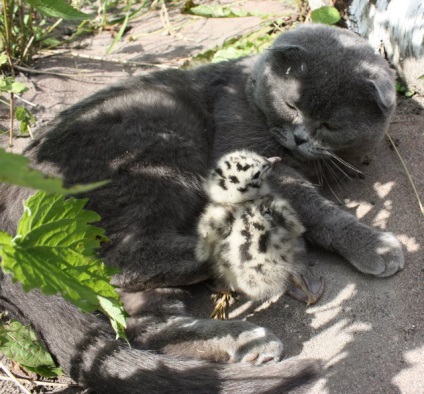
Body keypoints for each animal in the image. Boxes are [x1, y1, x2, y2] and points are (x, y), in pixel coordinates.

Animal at [0, 23, 404, 392]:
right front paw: (374, 244)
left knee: (145, 324)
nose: (300, 137)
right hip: (160, 152)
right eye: (292, 105)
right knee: (124, 259)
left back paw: (247, 339)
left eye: (331, 124)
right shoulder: (251, 159)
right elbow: (314, 207)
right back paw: (253, 256)